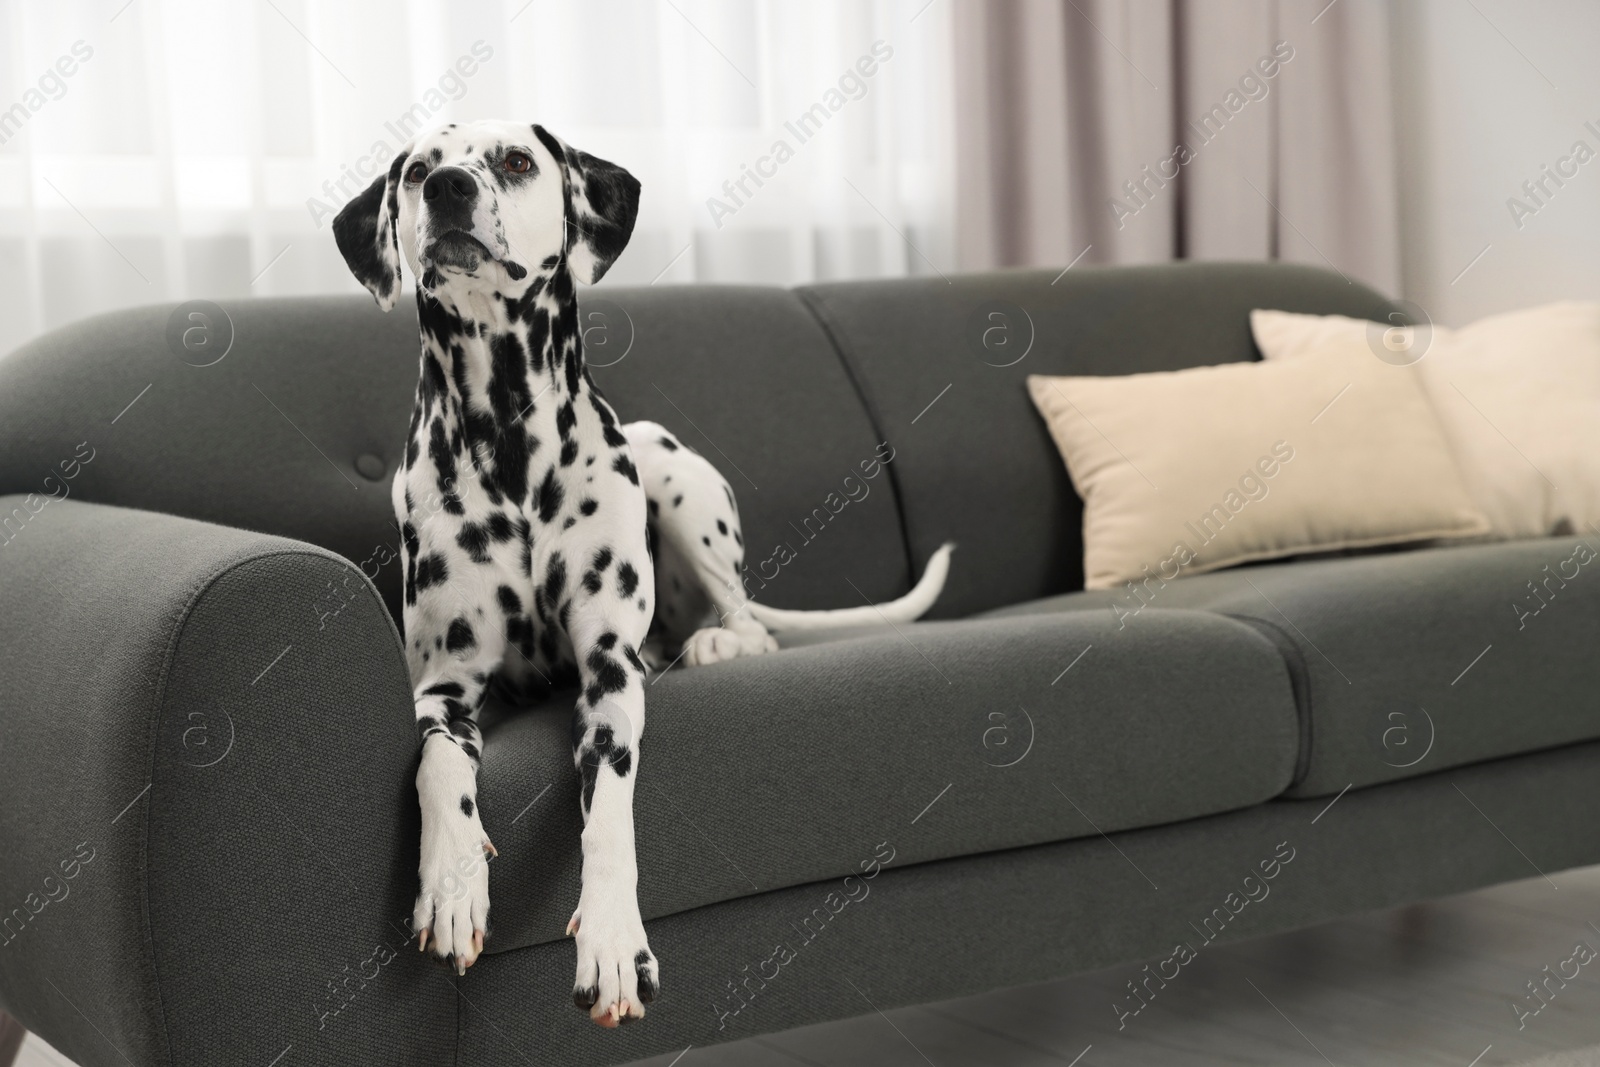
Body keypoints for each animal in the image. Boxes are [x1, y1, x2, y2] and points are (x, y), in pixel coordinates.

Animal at [328, 120, 947, 1030]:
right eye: (415, 172)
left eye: (516, 160)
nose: (447, 187)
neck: (508, 431)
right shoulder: (444, 685)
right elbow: (437, 765)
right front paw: (451, 883)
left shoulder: (610, 673)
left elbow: (610, 811)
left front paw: (616, 942)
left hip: (668, 470)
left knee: (747, 620)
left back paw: (716, 645)